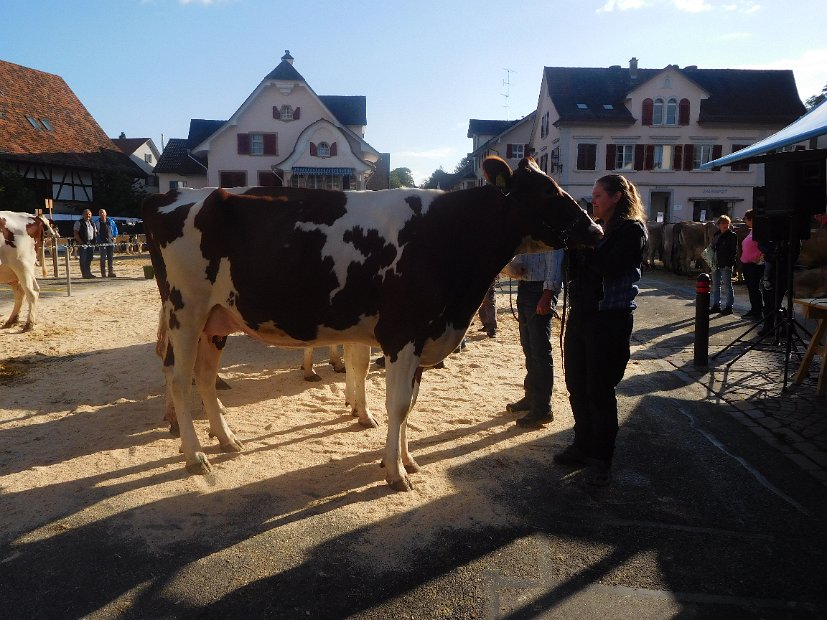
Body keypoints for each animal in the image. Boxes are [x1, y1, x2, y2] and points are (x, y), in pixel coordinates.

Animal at [144, 157, 600, 492]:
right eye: (547, 191)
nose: (594, 228)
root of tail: (175, 195)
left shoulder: (423, 338)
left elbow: (409, 404)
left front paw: (407, 460)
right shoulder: (403, 335)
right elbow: (396, 404)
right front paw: (394, 472)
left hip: (216, 320)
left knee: (204, 377)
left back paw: (225, 439)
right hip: (186, 311)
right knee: (179, 377)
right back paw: (194, 454)